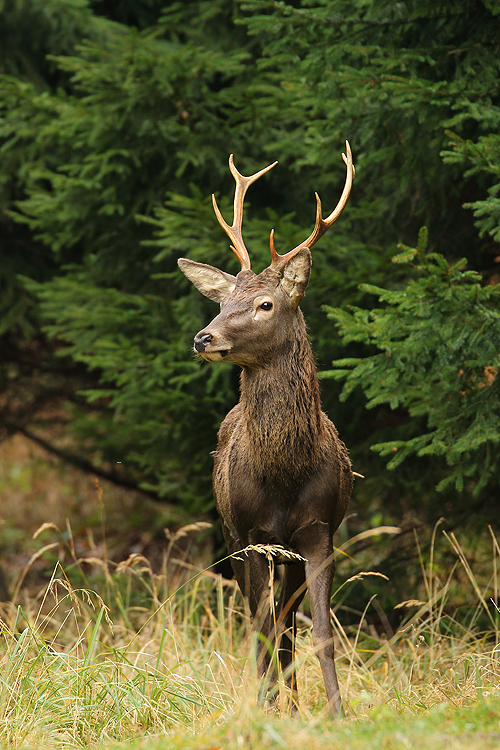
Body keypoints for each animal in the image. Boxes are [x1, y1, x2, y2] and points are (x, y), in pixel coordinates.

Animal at [178, 144, 354, 720]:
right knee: (265, 623)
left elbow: (319, 632)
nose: (203, 337)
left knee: (287, 627)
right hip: (232, 538)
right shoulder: (250, 532)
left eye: (265, 304)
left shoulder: (320, 530)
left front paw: (335, 713)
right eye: (221, 301)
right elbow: (259, 628)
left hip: (287, 552)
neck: (284, 475)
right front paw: (263, 709)